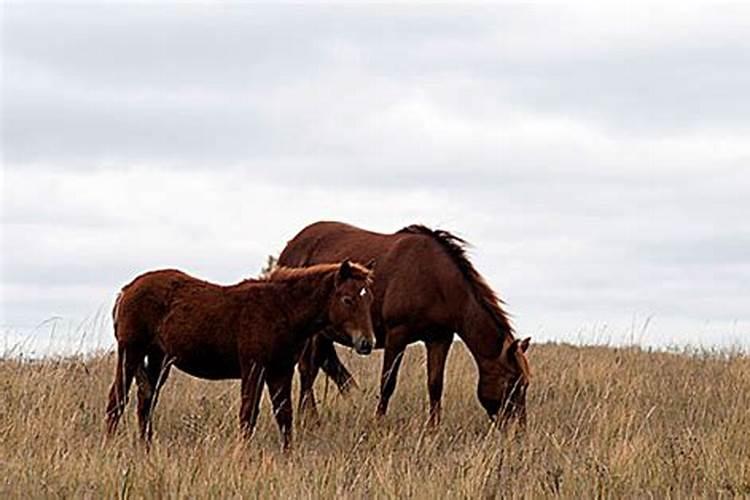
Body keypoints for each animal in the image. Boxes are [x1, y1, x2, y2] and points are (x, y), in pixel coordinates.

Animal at [105, 262, 376, 450]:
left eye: (369, 299)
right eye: (347, 299)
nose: (367, 343)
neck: (280, 310)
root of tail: (126, 291)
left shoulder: (280, 371)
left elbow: (284, 416)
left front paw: (288, 456)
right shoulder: (253, 367)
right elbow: (248, 415)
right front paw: (243, 455)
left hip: (159, 359)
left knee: (145, 401)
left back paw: (146, 448)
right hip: (131, 352)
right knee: (117, 399)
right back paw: (110, 445)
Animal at [280, 222, 532, 426]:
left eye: (525, 384)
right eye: (512, 382)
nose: (518, 430)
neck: (435, 280)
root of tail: (291, 246)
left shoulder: (440, 338)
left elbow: (435, 385)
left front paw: (433, 429)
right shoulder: (397, 336)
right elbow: (387, 383)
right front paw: (378, 423)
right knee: (307, 370)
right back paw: (309, 419)